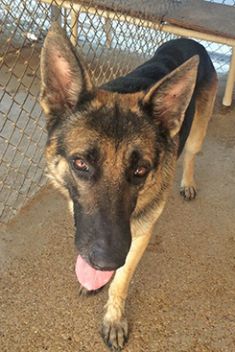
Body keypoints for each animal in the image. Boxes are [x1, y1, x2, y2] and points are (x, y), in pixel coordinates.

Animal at [39, 23, 218, 350]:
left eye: (140, 170)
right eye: (80, 163)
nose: (106, 260)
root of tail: (191, 40)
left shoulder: (140, 236)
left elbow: (120, 282)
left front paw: (113, 319)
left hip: (198, 132)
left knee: (191, 154)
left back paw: (187, 182)